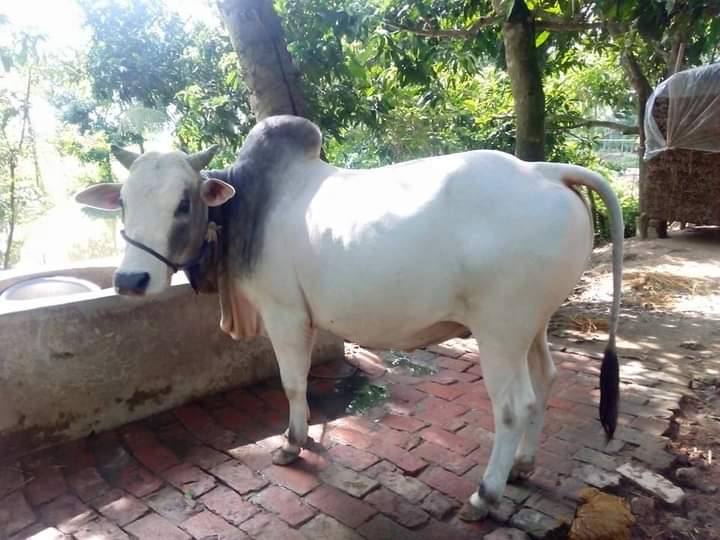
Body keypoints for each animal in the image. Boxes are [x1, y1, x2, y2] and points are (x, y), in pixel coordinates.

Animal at [76, 116, 620, 520]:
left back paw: (485, 494)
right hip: (533, 324)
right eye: (122, 202)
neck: (245, 208)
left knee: (512, 406)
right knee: (545, 380)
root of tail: (545, 171)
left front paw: (293, 444)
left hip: (499, 330)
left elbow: (292, 383)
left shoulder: (284, 315)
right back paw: (524, 465)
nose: (130, 280)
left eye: (183, 203)